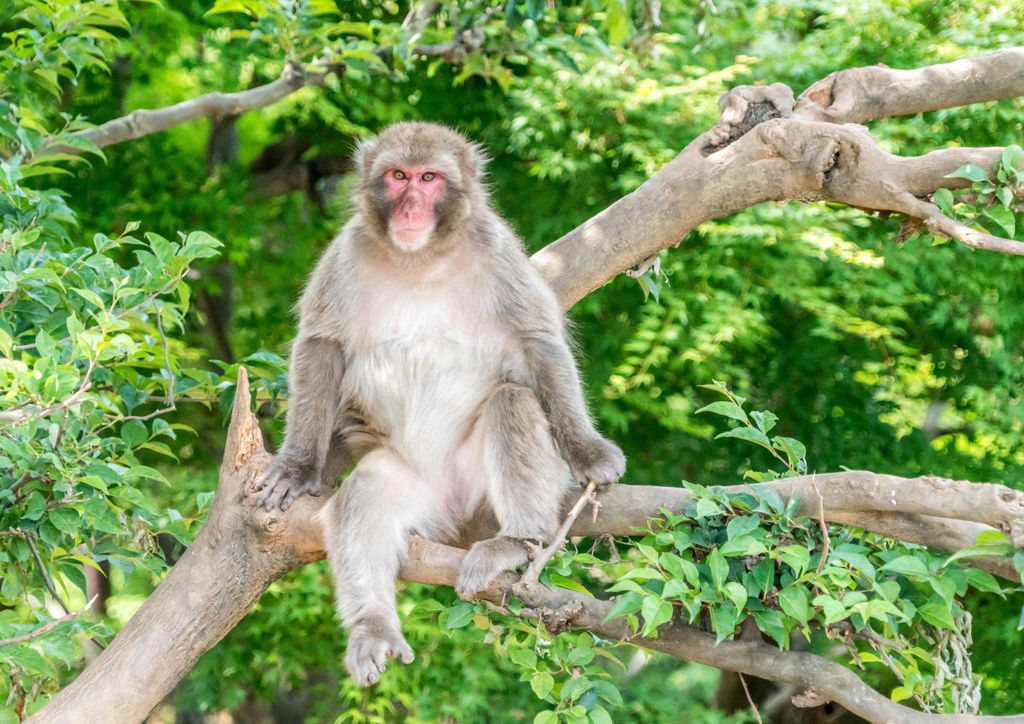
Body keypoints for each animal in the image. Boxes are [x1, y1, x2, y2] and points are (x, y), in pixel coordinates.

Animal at [253, 122, 626, 687]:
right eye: (397, 176)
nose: (410, 206)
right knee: (367, 491)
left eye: (429, 178)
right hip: (420, 491)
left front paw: (588, 451)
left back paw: (517, 541)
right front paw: (297, 467)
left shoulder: (498, 251)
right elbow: (322, 347)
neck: (420, 259)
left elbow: (537, 342)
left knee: (512, 402)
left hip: (481, 495)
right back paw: (373, 626)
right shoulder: (345, 254)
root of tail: (456, 514)